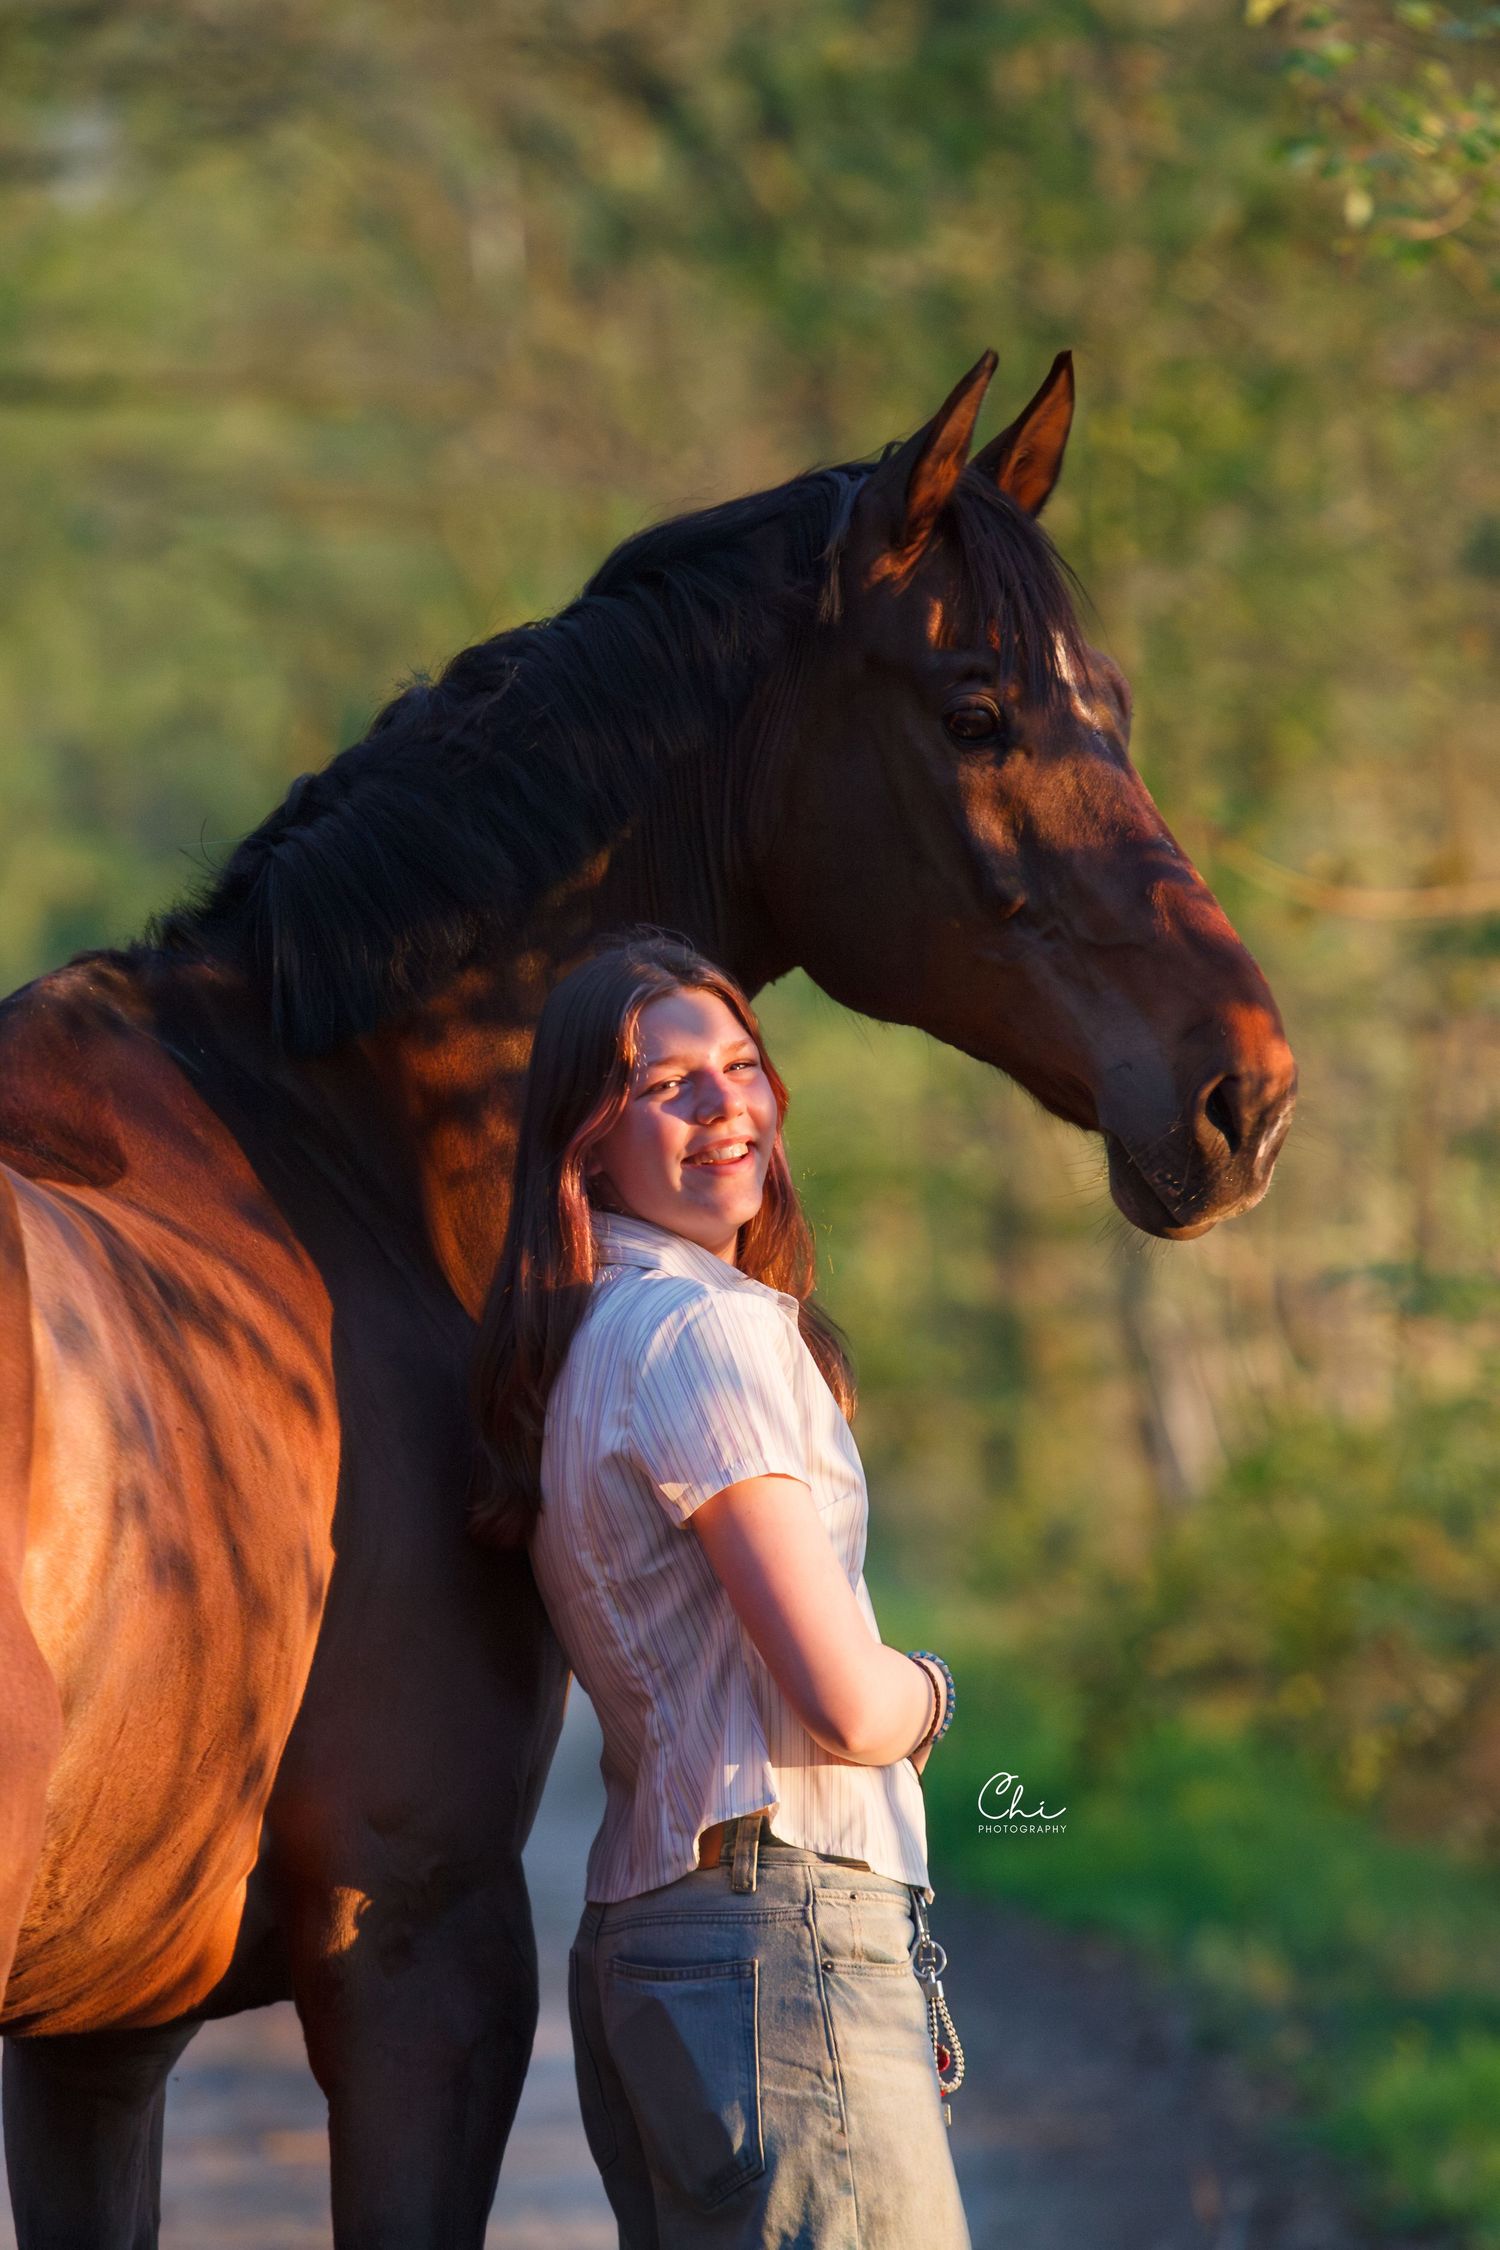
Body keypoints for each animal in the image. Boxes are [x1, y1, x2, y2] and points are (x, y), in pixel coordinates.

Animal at [0, 350, 1296, 2246]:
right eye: (980, 710)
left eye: (1110, 702)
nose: (1244, 1090)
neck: (324, 1147)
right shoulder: (425, 1951)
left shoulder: (102, 2039)